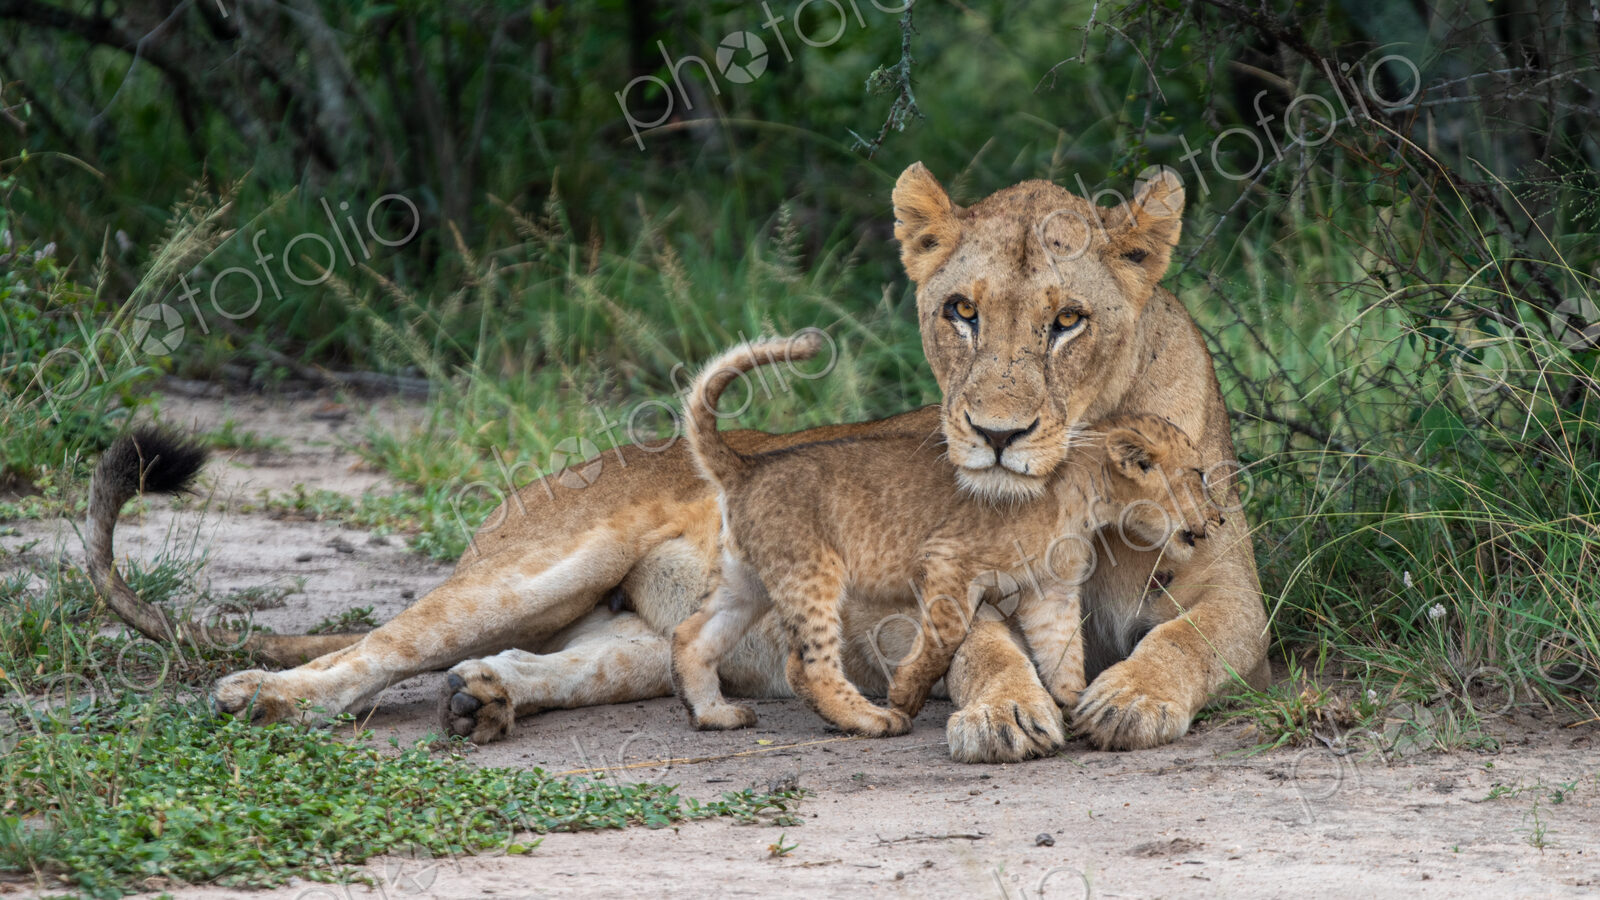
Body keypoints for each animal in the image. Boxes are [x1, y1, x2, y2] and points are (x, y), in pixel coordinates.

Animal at [672, 329, 1223, 737]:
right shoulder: (946, 562)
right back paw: (874, 719)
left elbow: (1064, 652)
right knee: (808, 666)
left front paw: (1073, 705)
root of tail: (746, 468)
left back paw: (716, 715)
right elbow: (946, 638)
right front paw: (906, 694)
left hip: (747, 579)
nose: (1218, 519)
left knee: (691, 634)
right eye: (1198, 475)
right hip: (811, 572)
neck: (1085, 497)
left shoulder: (1049, 589)